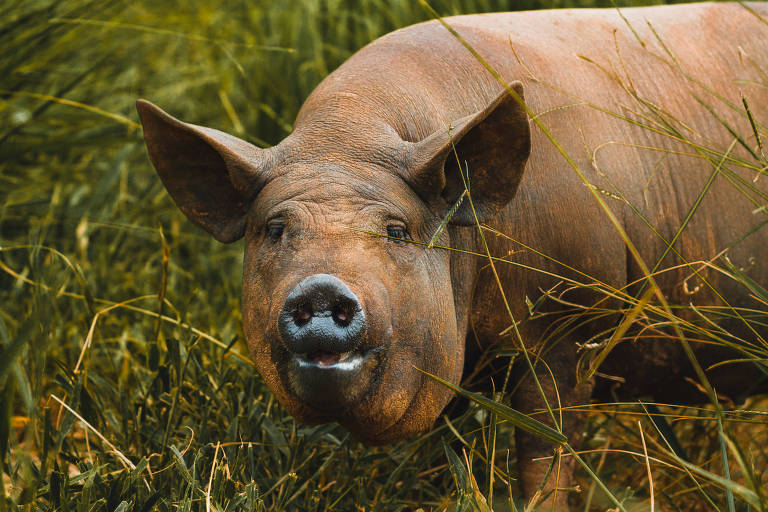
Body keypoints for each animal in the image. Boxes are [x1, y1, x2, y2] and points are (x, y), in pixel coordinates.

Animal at [138, 3, 768, 508]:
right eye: (274, 228)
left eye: (397, 230)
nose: (321, 287)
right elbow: (450, 451)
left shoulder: (567, 323)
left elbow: (544, 452)